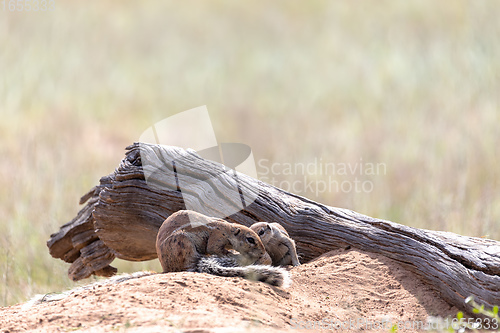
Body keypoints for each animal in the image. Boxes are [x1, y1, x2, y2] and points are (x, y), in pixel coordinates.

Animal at [155, 210, 290, 286]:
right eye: (250, 239)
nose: (262, 252)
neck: (228, 229)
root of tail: (165, 267)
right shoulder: (217, 237)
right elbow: (213, 248)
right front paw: (232, 254)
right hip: (183, 242)